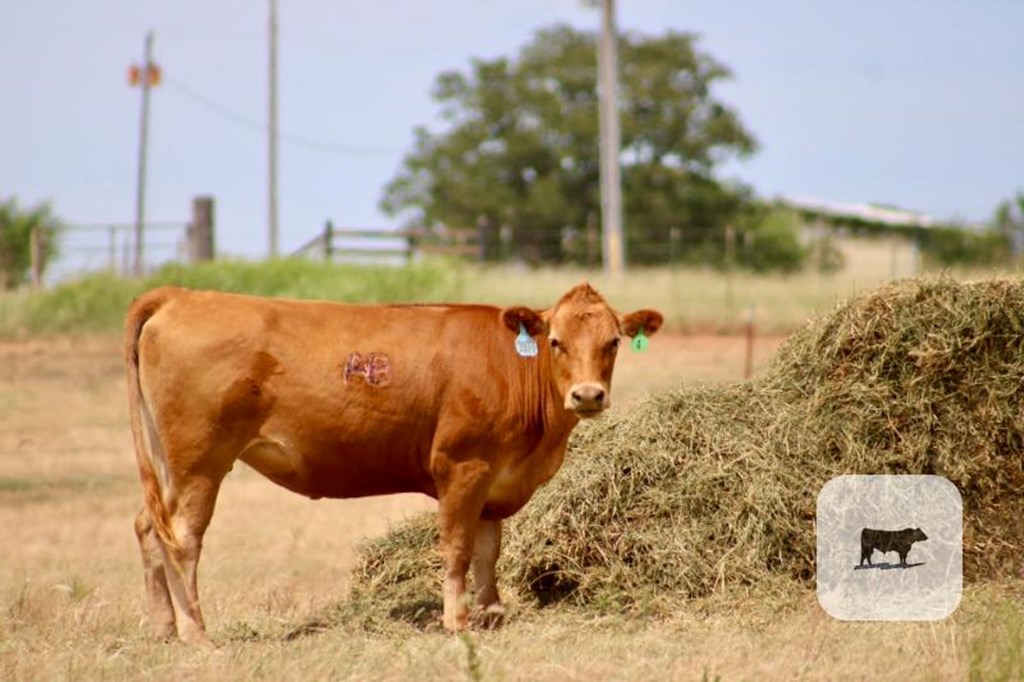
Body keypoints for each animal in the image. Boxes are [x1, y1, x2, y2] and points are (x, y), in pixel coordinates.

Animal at [123, 280, 663, 643]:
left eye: (613, 342)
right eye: (555, 342)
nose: (587, 395)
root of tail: (182, 295)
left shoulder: (496, 482)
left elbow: (489, 551)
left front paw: (492, 614)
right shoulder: (462, 468)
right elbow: (458, 548)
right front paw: (457, 621)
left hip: (168, 465)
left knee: (149, 526)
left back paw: (163, 629)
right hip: (199, 461)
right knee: (183, 538)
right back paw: (197, 634)